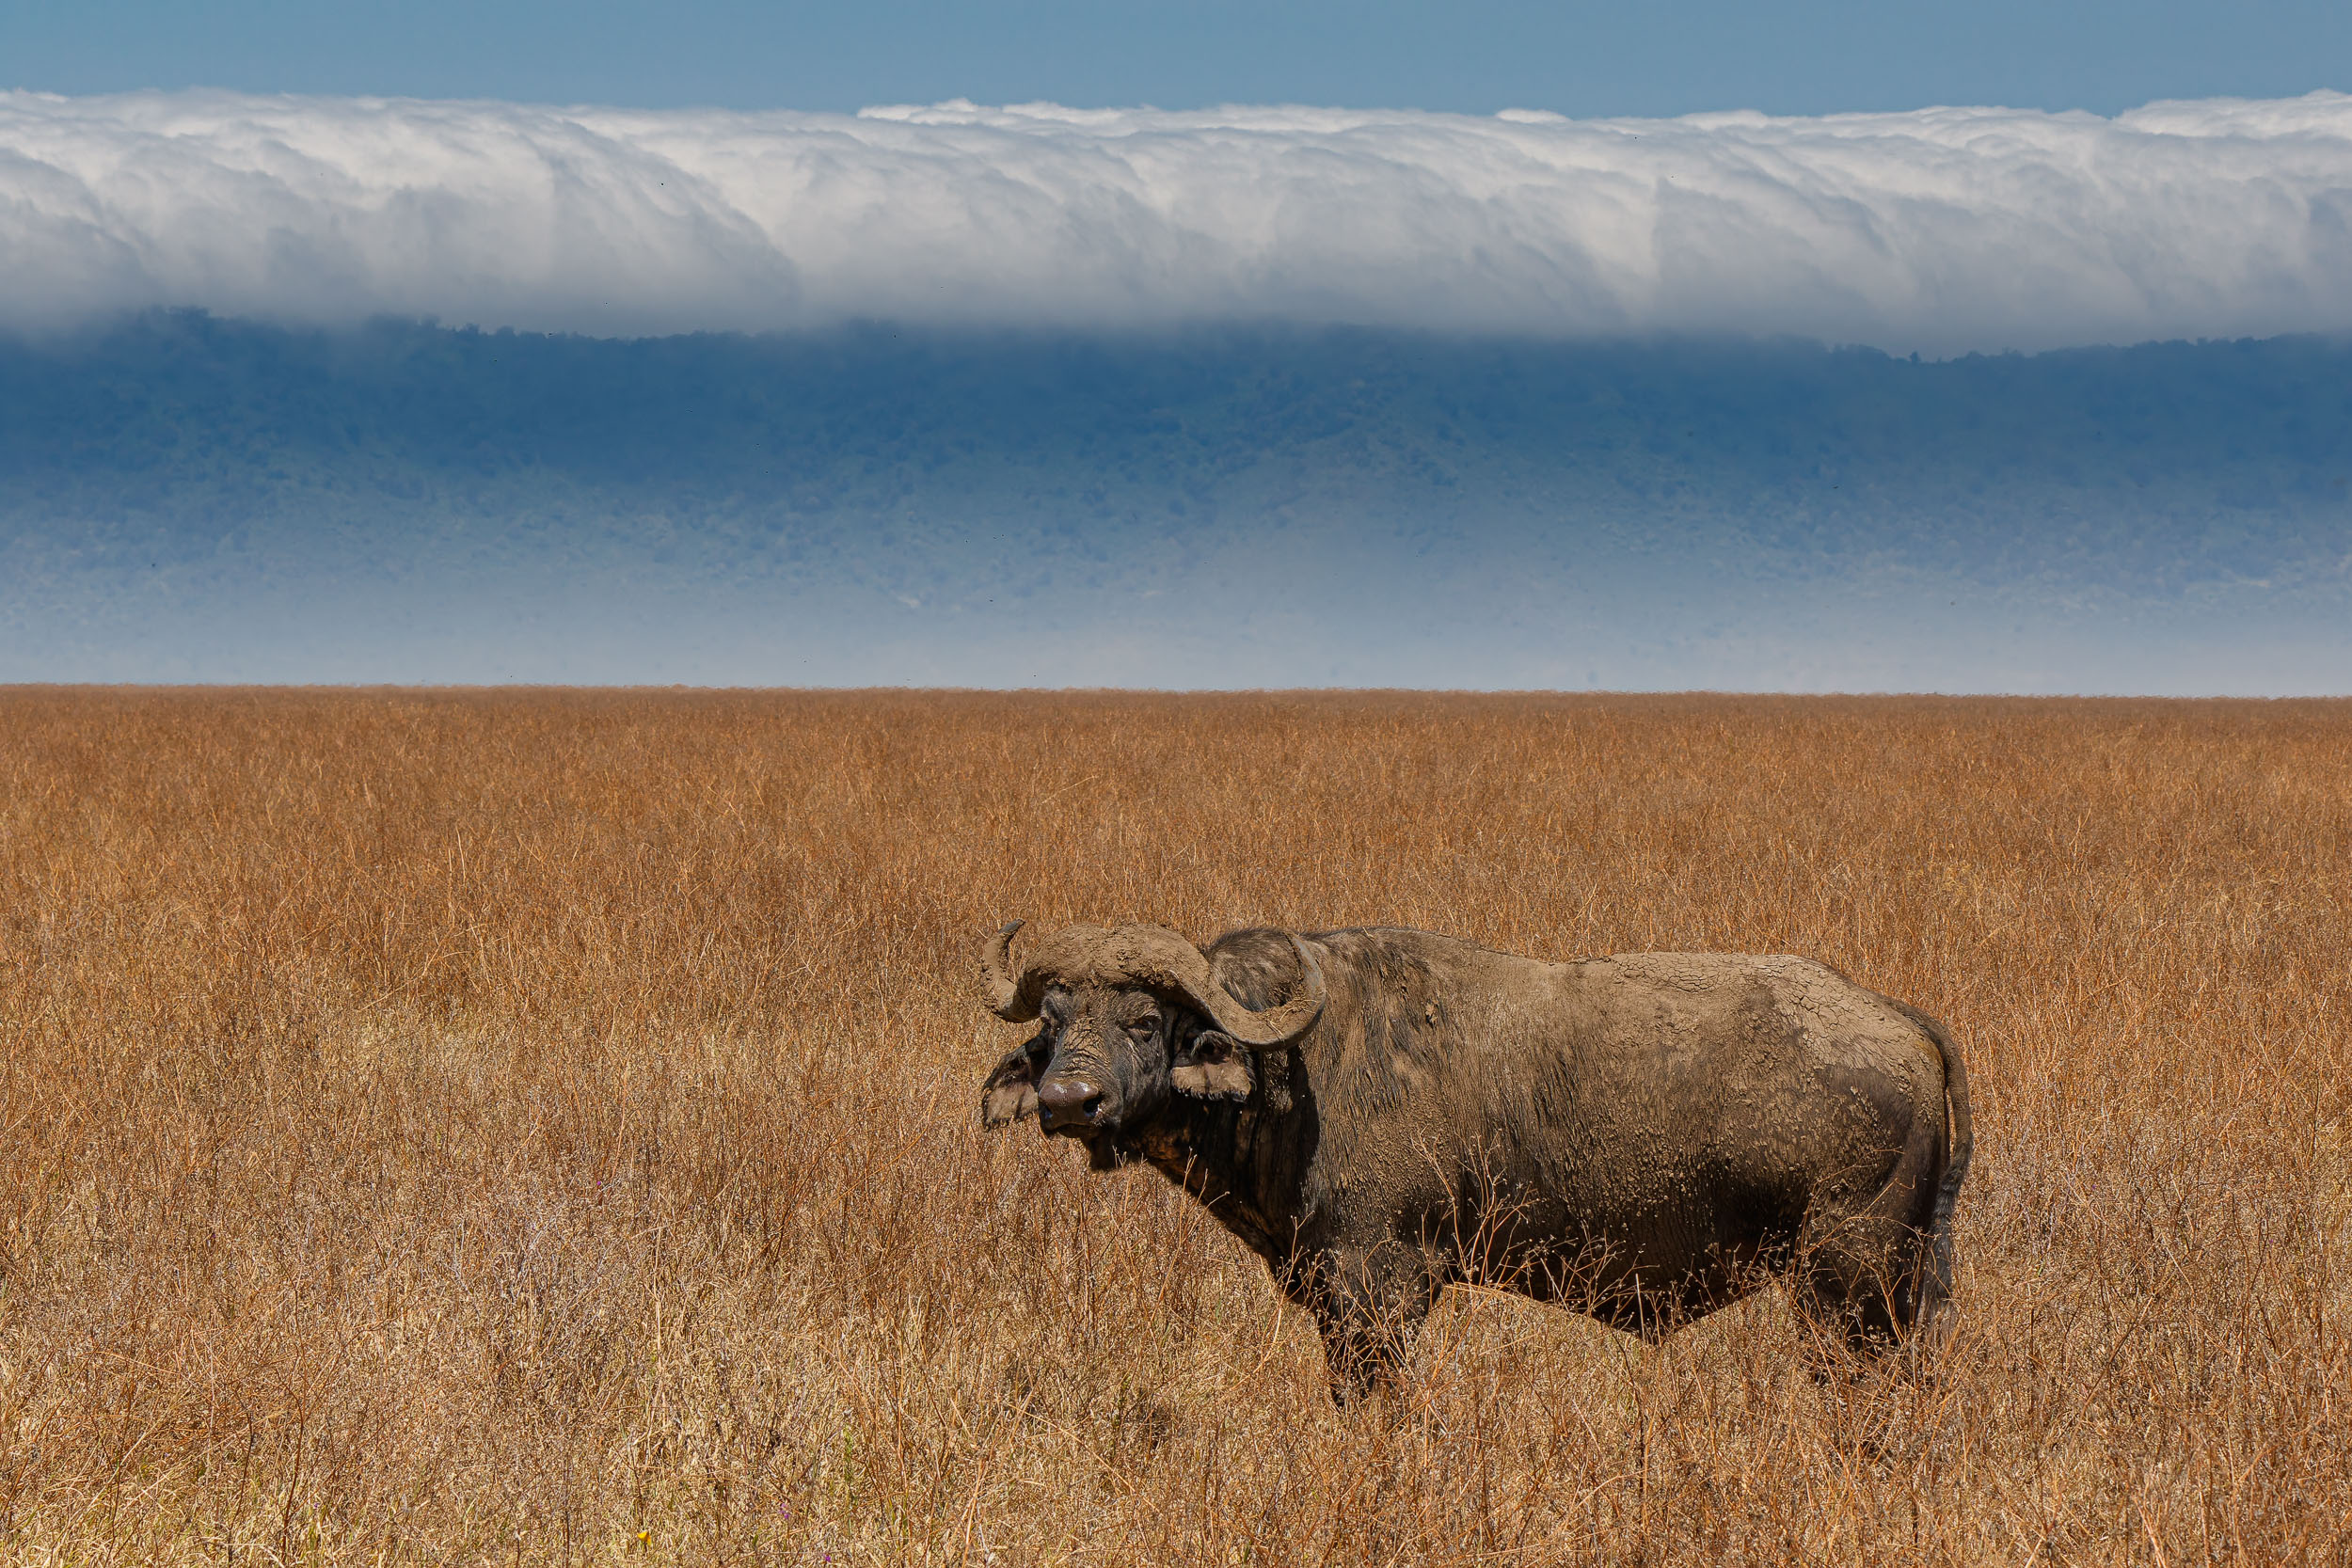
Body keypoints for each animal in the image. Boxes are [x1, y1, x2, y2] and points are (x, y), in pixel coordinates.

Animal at [977, 921, 1971, 1401]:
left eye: (1147, 1021)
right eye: (1054, 1020)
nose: (1068, 1101)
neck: (1295, 1067)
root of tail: (1898, 1019)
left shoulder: (1375, 1291)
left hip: (1847, 1288)